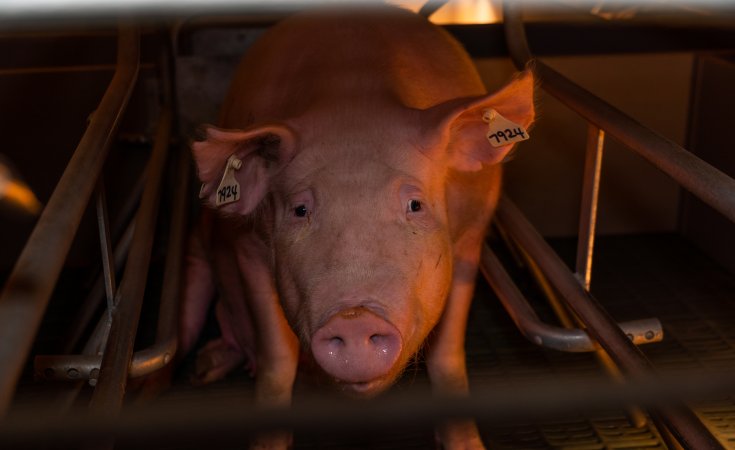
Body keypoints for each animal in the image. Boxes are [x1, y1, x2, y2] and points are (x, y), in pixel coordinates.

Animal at [179, 4, 536, 450]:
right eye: (299, 210)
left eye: (415, 205)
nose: (354, 319)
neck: (353, 94)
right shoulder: (248, 246)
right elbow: (277, 360)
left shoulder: (472, 236)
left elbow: (448, 353)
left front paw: (468, 444)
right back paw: (199, 368)